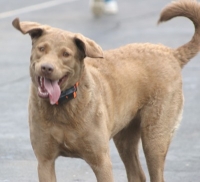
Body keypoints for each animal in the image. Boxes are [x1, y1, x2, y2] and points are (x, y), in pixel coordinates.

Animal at [12, 0, 200, 182]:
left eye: (66, 54)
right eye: (41, 49)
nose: (46, 67)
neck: (63, 106)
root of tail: (171, 53)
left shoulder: (101, 161)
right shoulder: (45, 161)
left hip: (154, 138)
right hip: (124, 137)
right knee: (137, 174)